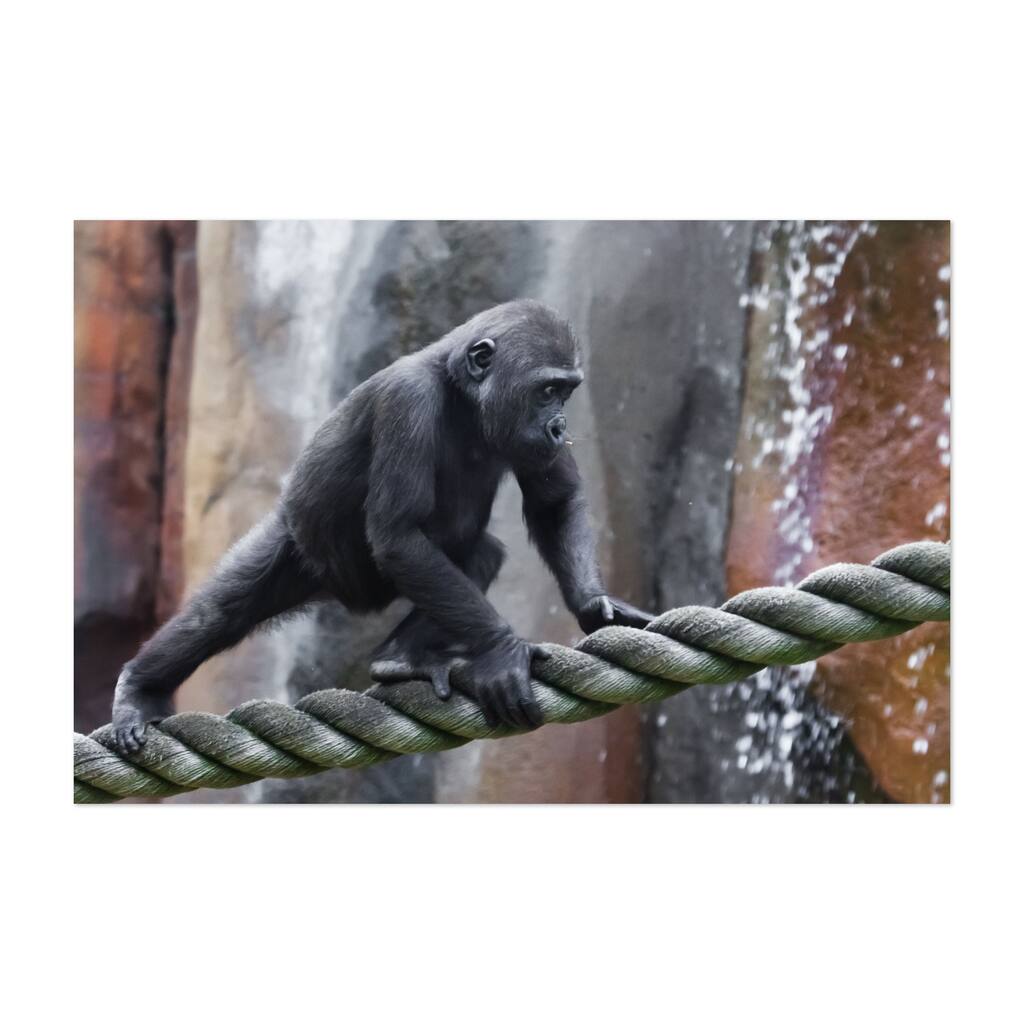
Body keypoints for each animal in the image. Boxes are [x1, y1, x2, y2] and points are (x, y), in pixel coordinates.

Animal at [111, 299, 653, 754]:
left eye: (565, 392)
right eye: (546, 392)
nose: (559, 427)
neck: (461, 392)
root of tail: (339, 590)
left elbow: (554, 504)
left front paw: (596, 606)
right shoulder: (407, 400)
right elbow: (399, 536)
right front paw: (502, 653)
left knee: (479, 556)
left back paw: (399, 658)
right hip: (303, 545)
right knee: (217, 614)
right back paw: (140, 688)